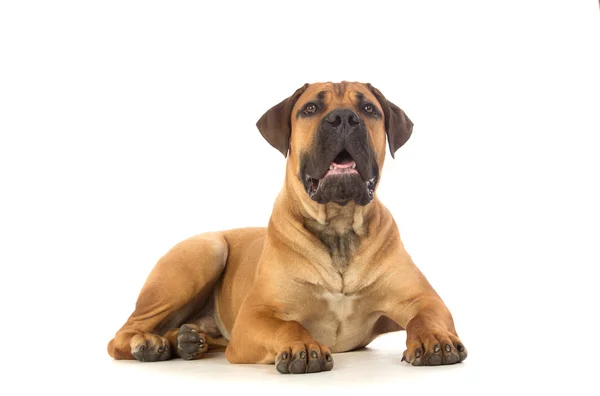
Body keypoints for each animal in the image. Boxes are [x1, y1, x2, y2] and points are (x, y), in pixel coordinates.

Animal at [106, 81, 468, 374]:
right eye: (311, 108)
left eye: (368, 109)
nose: (343, 118)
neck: (339, 230)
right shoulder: (256, 316)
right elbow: (289, 328)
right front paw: (302, 346)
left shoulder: (422, 298)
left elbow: (425, 315)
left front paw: (435, 338)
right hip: (205, 251)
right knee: (121, 335)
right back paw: (150, 344)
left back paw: (186, 341)